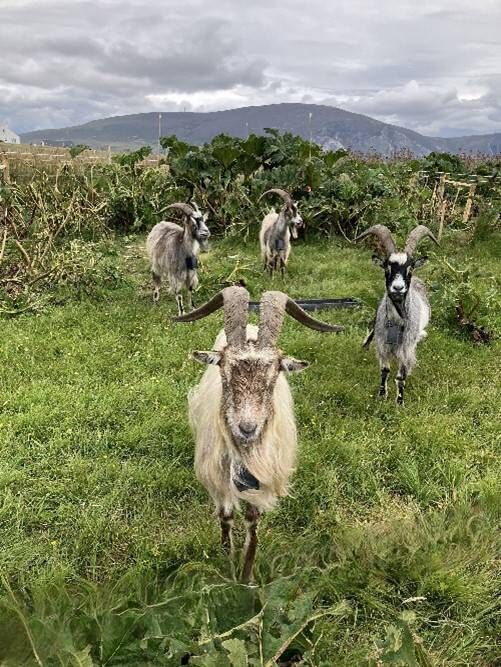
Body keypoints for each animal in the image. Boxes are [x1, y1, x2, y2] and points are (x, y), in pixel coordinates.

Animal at [175, 286, 343, 581]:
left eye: (276, 371)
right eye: (224, 368)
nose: (247, 427)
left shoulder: (263, 477)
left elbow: (253, 524)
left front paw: (246, 578)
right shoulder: (219, 477)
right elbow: (225, 516)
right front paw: (227, 564)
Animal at [356, 224, 439, 404]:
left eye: (410, 268)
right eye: (387, 267)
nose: (398, 288)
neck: (396, 322)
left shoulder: (406, 348)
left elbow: (401, 376)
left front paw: (399, 402)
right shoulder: (382, 344)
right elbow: (384, 370)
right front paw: (382, 395)